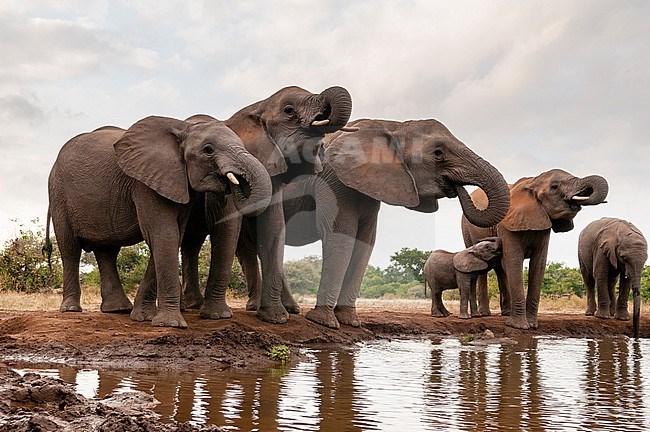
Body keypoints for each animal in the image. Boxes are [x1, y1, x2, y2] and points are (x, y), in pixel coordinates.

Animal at [46, 115, 270, 328]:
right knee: (70, 249)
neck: (183, 129)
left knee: (107, 251)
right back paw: (71, 309)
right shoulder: (145, 182)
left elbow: (171, 236)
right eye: (208, 150)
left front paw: (144, 317)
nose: (237, 183)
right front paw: (170, 324)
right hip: (58, 194)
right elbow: (164, 233)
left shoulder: (175, 180)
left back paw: (118, 309)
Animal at [175, 86, 352, 324]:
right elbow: (227, 226)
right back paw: (189, 306)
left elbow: (274, 228)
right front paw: (217, 316)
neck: (257, 106)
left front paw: (275, 318)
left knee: (193, 241)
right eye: (288, 110)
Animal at [235, 117, 508, 328]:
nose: (457, 189)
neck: (391, 126)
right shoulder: (333, 180)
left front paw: (350, 322)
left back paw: (289, 310)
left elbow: (365, 243)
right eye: (438, 153)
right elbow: (342, 238)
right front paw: (324, 322)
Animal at [460, 169, 608, 330]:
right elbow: (514, 260)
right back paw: (484, 314)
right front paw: (519, 326)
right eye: (554, 186)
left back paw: (506, 313)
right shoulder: (507, 224)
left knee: (500, 268)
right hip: (467, 229)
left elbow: (539, 263)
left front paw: (532, 325)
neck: (532, 182)